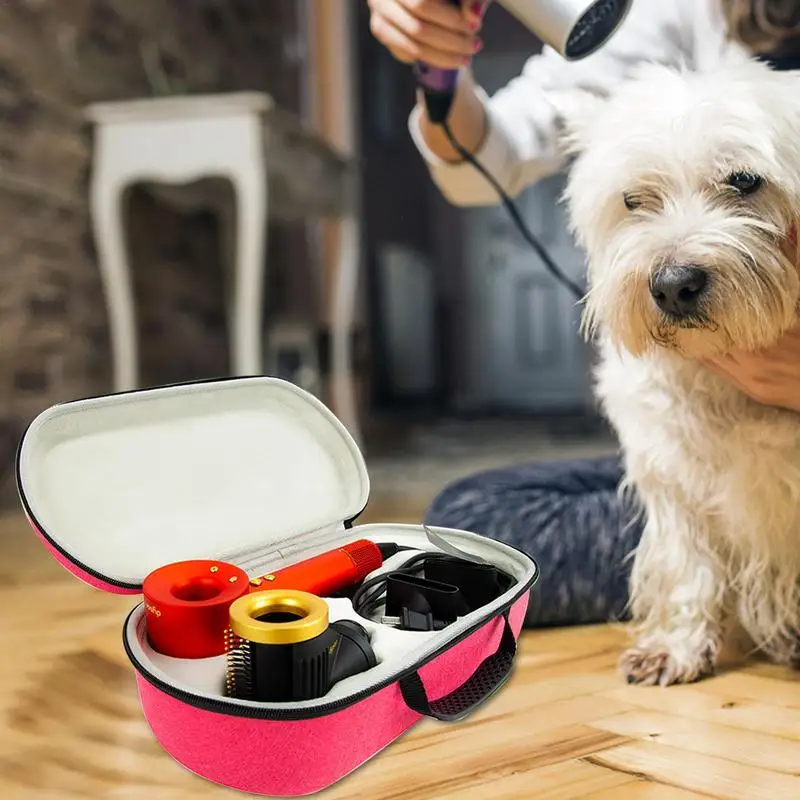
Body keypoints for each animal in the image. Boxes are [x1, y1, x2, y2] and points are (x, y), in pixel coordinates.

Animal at [552, 56, 800, 684]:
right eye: (633, 200)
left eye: (745, 181)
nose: (672, 285)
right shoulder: (673, 471)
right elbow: (687, 563)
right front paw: (676, 647)